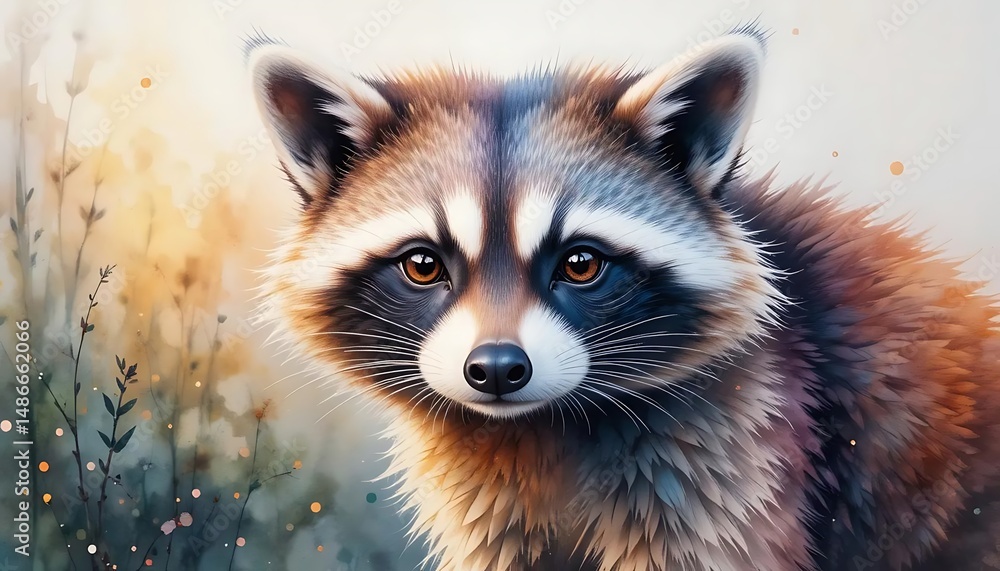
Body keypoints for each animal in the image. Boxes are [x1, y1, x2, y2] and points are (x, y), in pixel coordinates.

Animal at [249, 28, 1000, 571]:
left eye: (581, 264)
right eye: (423, 265)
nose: (496, 369)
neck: (538, 426)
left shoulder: (740, 443)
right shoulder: (486, 502)